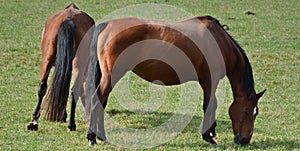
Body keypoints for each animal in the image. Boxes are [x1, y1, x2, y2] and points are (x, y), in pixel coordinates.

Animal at [27, 2, 95, 132]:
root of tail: (69, 18)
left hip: (47, 59)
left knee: (42, 86)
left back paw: (34, 121)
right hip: (77, 63)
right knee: (74, 90)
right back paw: (71, 124)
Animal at [85, 15, 266, 146]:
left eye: (256, 112)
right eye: (247, 111)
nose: (244, 140)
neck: (219, 42)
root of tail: (107, 26)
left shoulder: (205, 82)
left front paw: (211, 133)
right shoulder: (210, 80)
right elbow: (210, 105)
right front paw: (208, 136)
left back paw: (99, 136)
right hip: (111, 76)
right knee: (96, 100)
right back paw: (93, 137)